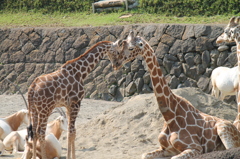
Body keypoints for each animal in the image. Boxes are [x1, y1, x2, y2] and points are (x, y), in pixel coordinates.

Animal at [112, 30, 240, 158]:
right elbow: (144, 155)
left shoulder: (195, 148)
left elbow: (174, 157)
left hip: (223, 129)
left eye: (131, 48)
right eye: (121, 45)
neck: (169, 116)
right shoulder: (165, 149)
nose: (115, 63)